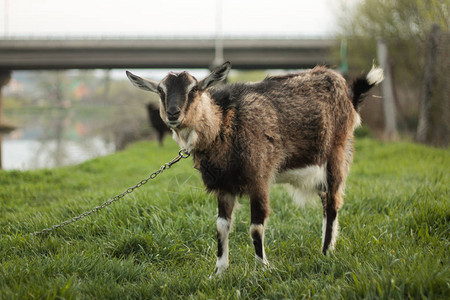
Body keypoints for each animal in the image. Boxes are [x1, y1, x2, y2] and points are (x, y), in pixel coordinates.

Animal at [126, 62, 384, 276]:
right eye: (161, 91)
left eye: (194, 89)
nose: (173, 114)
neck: (225, 123)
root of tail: (348, 93)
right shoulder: (224, 186)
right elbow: (221, 227)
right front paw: (219, 271)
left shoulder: (259, 178)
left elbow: (255, 228)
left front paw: (264, 268)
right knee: (325, 201)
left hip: (337, 154)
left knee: (332, 204)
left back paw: (326, 252)